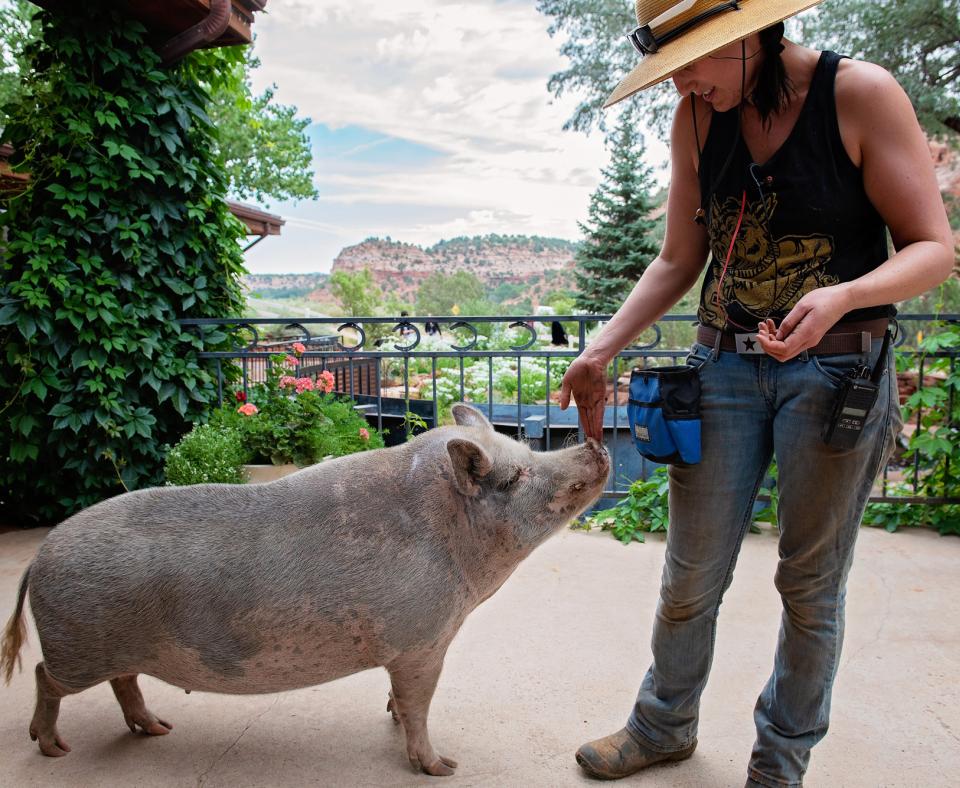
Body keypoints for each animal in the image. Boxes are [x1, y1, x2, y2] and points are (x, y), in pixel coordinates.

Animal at [3, 406, 608, 776]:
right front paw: (443, 768)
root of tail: (38, 556)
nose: (597, 445)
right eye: (513, 477)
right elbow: (419, 704)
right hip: (77, 647)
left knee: (123, 681)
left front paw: (392, 717)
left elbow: (402, 699)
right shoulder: (422, 642)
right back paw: (53, 748)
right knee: (45, 677)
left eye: (523, 446)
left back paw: (157, 730)